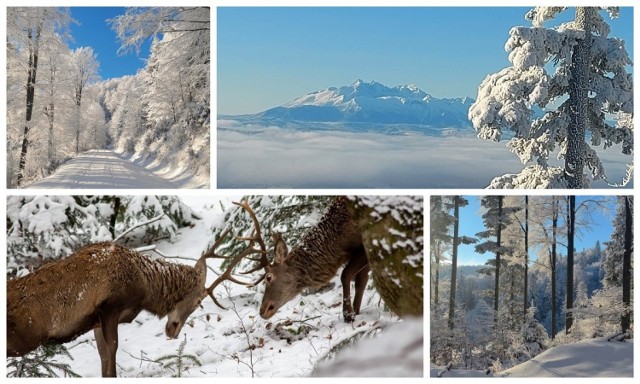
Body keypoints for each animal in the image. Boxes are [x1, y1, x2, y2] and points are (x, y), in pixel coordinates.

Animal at [5, 242, 235, 376]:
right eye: (197, 302)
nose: (173, 331)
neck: (145, 287)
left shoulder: (95, 320)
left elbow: (103, 355)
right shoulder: (110, 307)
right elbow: (112, 349)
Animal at [208, 196, 370, 322]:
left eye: (268, 277)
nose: (262, 311)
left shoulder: (364, 246)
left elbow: (346, 276)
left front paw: (348, 315)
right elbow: (361, 282)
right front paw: (356, 312)